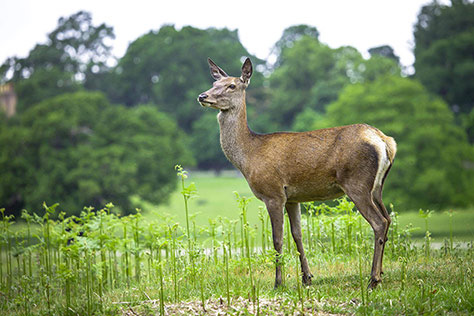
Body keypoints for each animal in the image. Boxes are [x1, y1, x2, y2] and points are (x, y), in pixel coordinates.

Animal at [196, 56, 396, 288]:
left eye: (231, 86)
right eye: (214, 83)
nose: (203, 96)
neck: (249, 156)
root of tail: (384, 141)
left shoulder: (273, 193)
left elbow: (277, 239)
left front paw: (278, 282)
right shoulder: (293, 198)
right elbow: (297, 234)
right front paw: (306, 277)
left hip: (357, 183)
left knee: (379, 222)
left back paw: (373, 279)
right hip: (377, 187)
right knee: (388, 218)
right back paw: (381, 273)